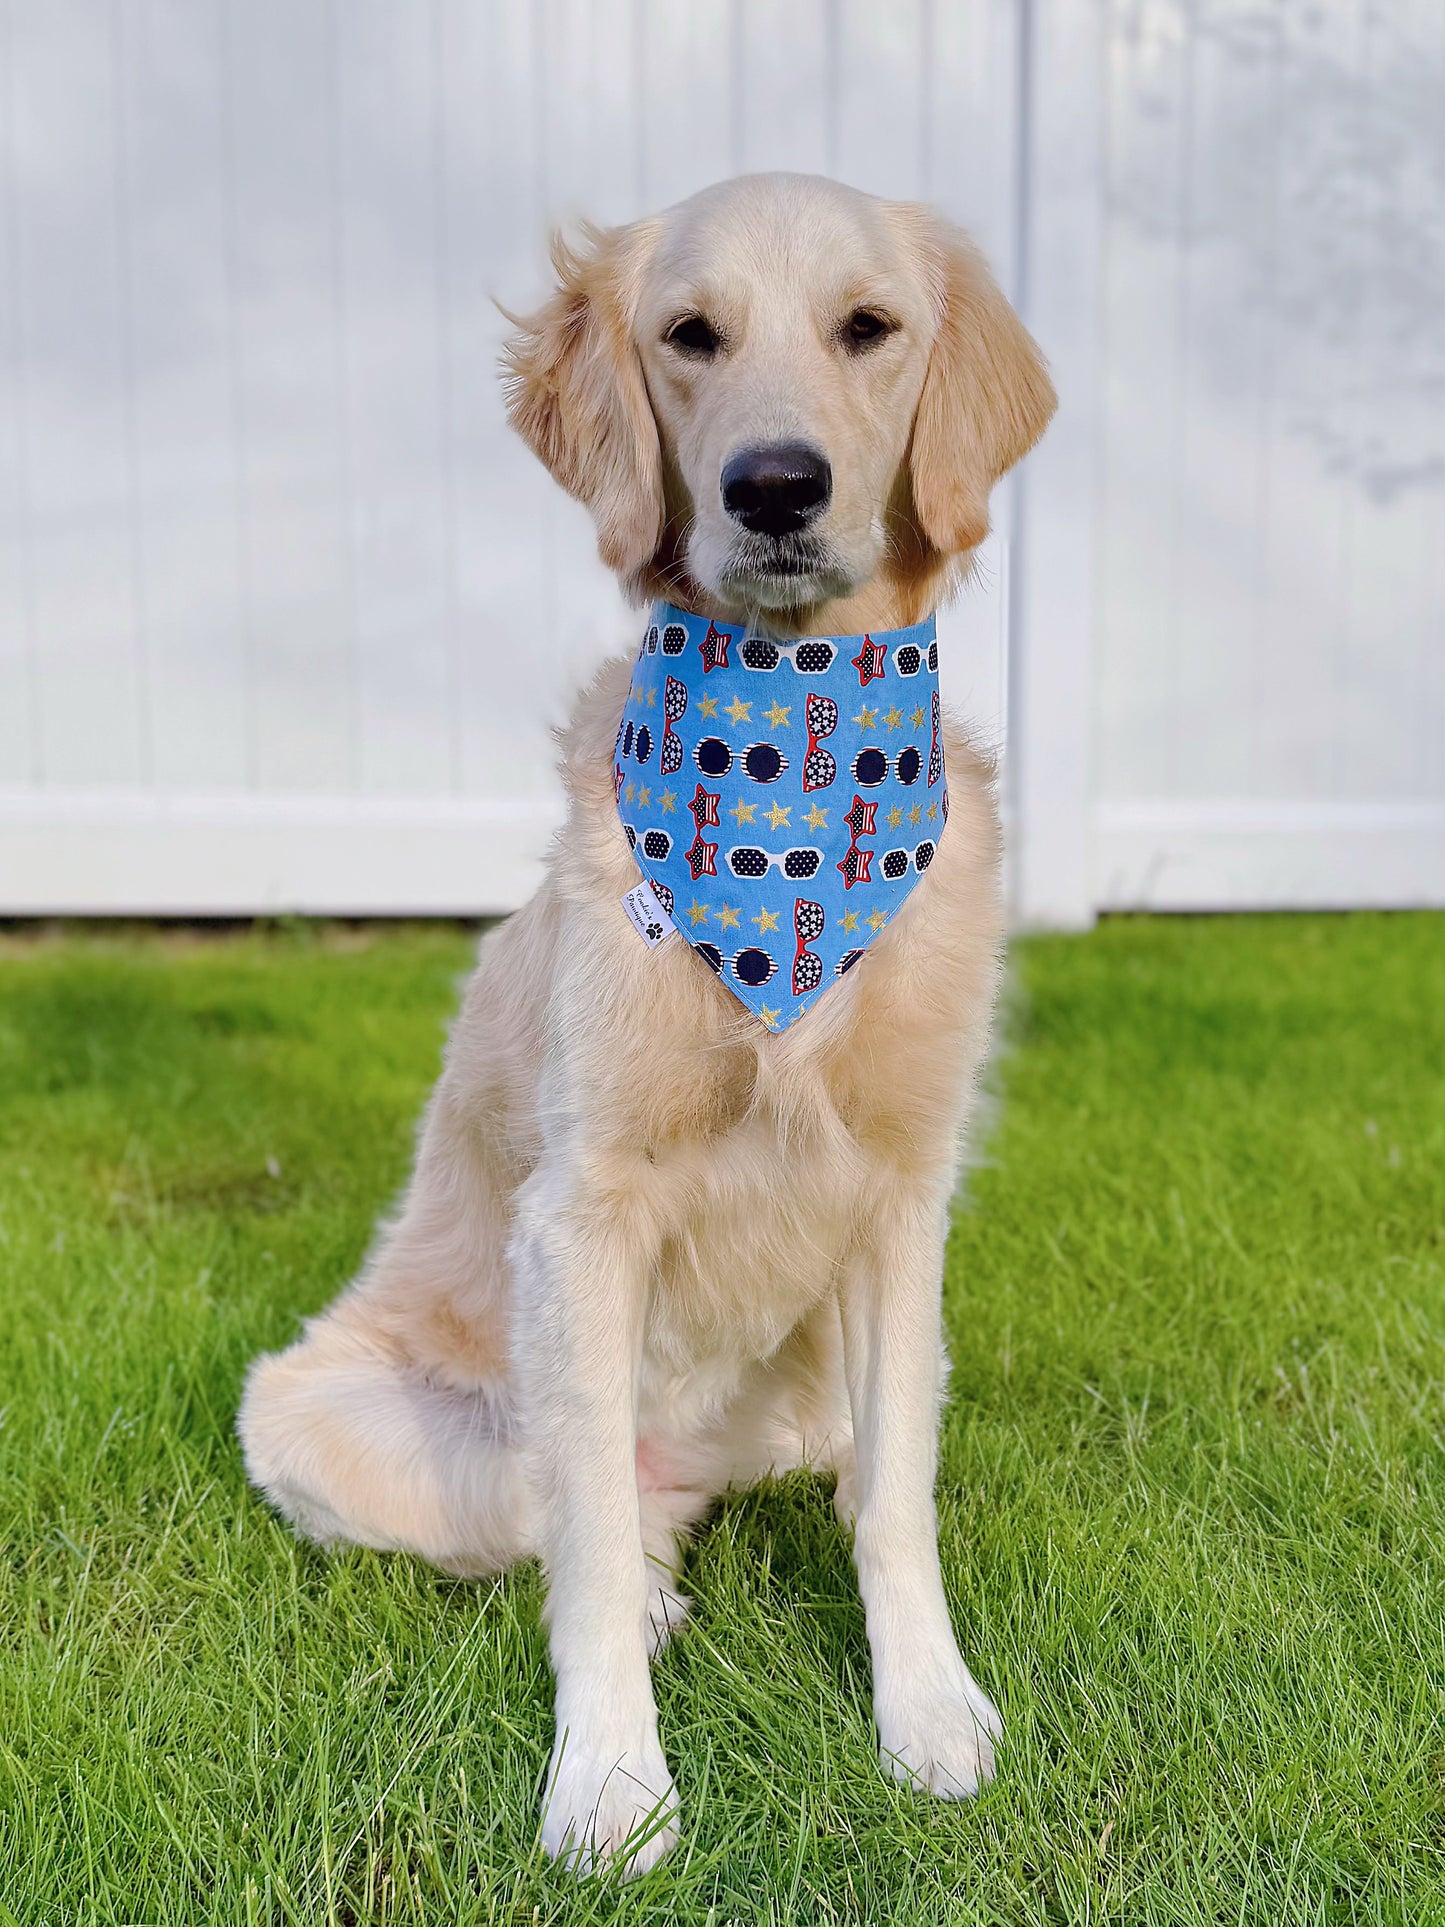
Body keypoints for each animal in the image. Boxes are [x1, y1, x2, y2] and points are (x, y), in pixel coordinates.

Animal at [235, 173, 1055, 1873]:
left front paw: (929, 1713)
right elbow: (592, 1558)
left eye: (868, 327)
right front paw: (612, 1784)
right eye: (691, 335)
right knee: (587, 1517)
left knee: (823, 1470)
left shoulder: (904, 1198)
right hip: (314, 1411)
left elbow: (898, 1501)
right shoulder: (582, 1211)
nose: (777, 485)